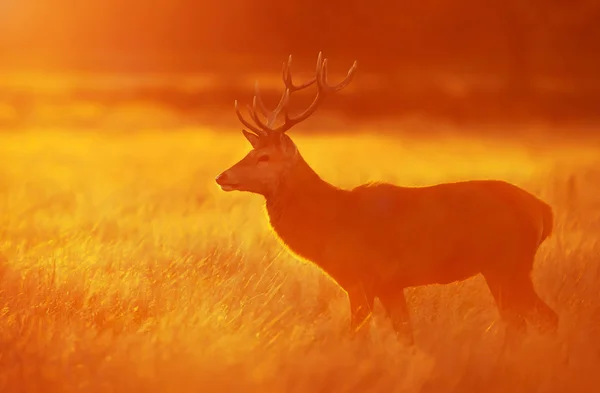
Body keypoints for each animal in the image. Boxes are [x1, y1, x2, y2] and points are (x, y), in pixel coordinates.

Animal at [214, 52, 556, 346]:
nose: (223, 177)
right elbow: (406, 335)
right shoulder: (391, 286)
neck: (330, 224)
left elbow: (358, 336)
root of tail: (544, 211)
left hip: (508, 263)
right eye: (250, 151)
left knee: (539, 319)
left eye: (265, 157)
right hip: (504, 268)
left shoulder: (360, 279)